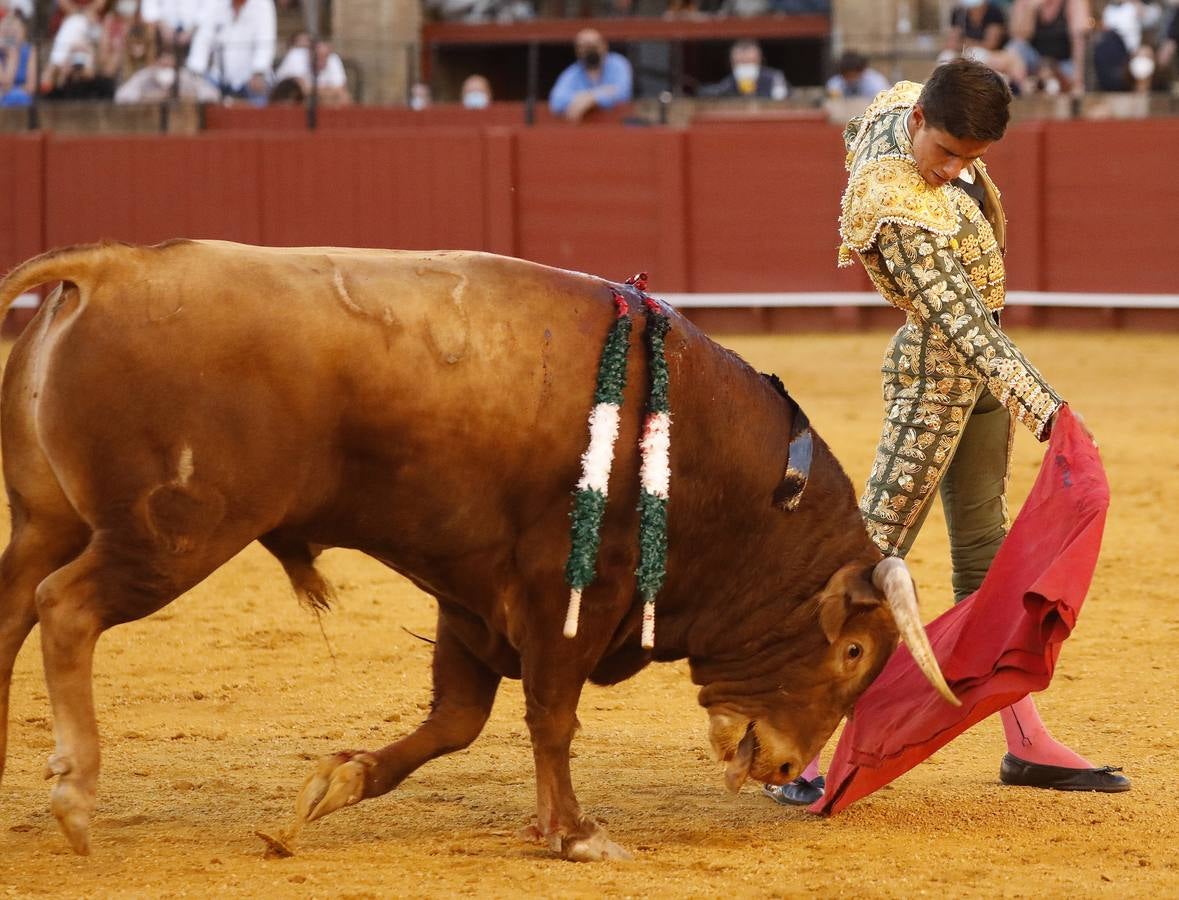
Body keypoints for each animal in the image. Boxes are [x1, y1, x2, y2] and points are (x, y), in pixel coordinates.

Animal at [0, 239, 952, 858]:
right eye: (854, 650)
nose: (788, 765)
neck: (709, 468)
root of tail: (111, 267)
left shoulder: (469, 597)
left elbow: (455, 722)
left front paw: (332, 787)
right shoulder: (569, 597)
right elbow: (550, 716)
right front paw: (573, 835)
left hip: (46, 524)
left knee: (13, 613)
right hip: (173, 535)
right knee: (67, 608)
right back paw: (75, 797)